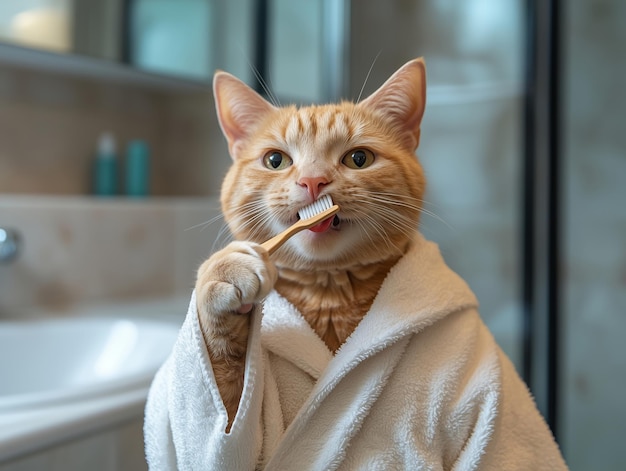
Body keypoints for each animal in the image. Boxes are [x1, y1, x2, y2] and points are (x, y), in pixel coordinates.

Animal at [196, 58, 424, 428]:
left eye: (359, 158)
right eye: (275, 160)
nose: (313, 181)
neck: (327, 290)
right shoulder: (228, 414)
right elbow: (225, 404)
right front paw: (227, 270)